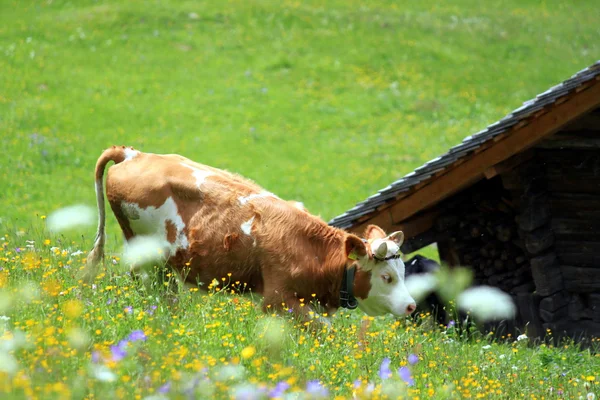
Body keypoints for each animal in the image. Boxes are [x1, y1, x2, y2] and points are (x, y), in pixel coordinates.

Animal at [83, 145, 418, 324]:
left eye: (404, 272)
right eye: (386, 277)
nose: (411, 305)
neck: (310, 248)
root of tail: (133, 154)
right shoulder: (276, 300)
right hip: (147, 259)